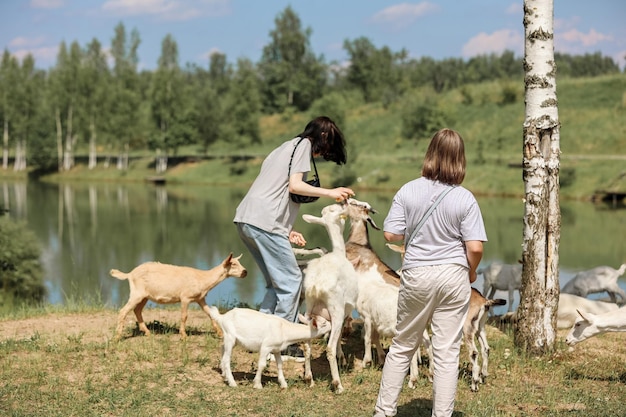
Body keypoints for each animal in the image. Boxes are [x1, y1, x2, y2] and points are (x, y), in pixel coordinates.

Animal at [111, 250, 247, 338]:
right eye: (233, 264)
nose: (245, 272)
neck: (203, 279)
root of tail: (129, 274)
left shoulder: (200, 298)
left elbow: (210, 313)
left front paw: (219, 333)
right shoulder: (185, 297)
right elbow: (184, 316)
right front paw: (183, 335)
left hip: (144, 296)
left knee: (137, 310)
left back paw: (148, 333)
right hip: (136, 293)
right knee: (123, 311)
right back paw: (118, 336)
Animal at [300, 202, 358, 394]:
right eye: (335, 210)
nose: (343, 202)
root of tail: (317, 285)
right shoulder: (346, 309)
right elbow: (339, 335)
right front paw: (342, 357)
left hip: (309, 307)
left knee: (306, 344)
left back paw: (309, 379)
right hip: (335, 307)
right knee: (329, 348)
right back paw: (338, 384)